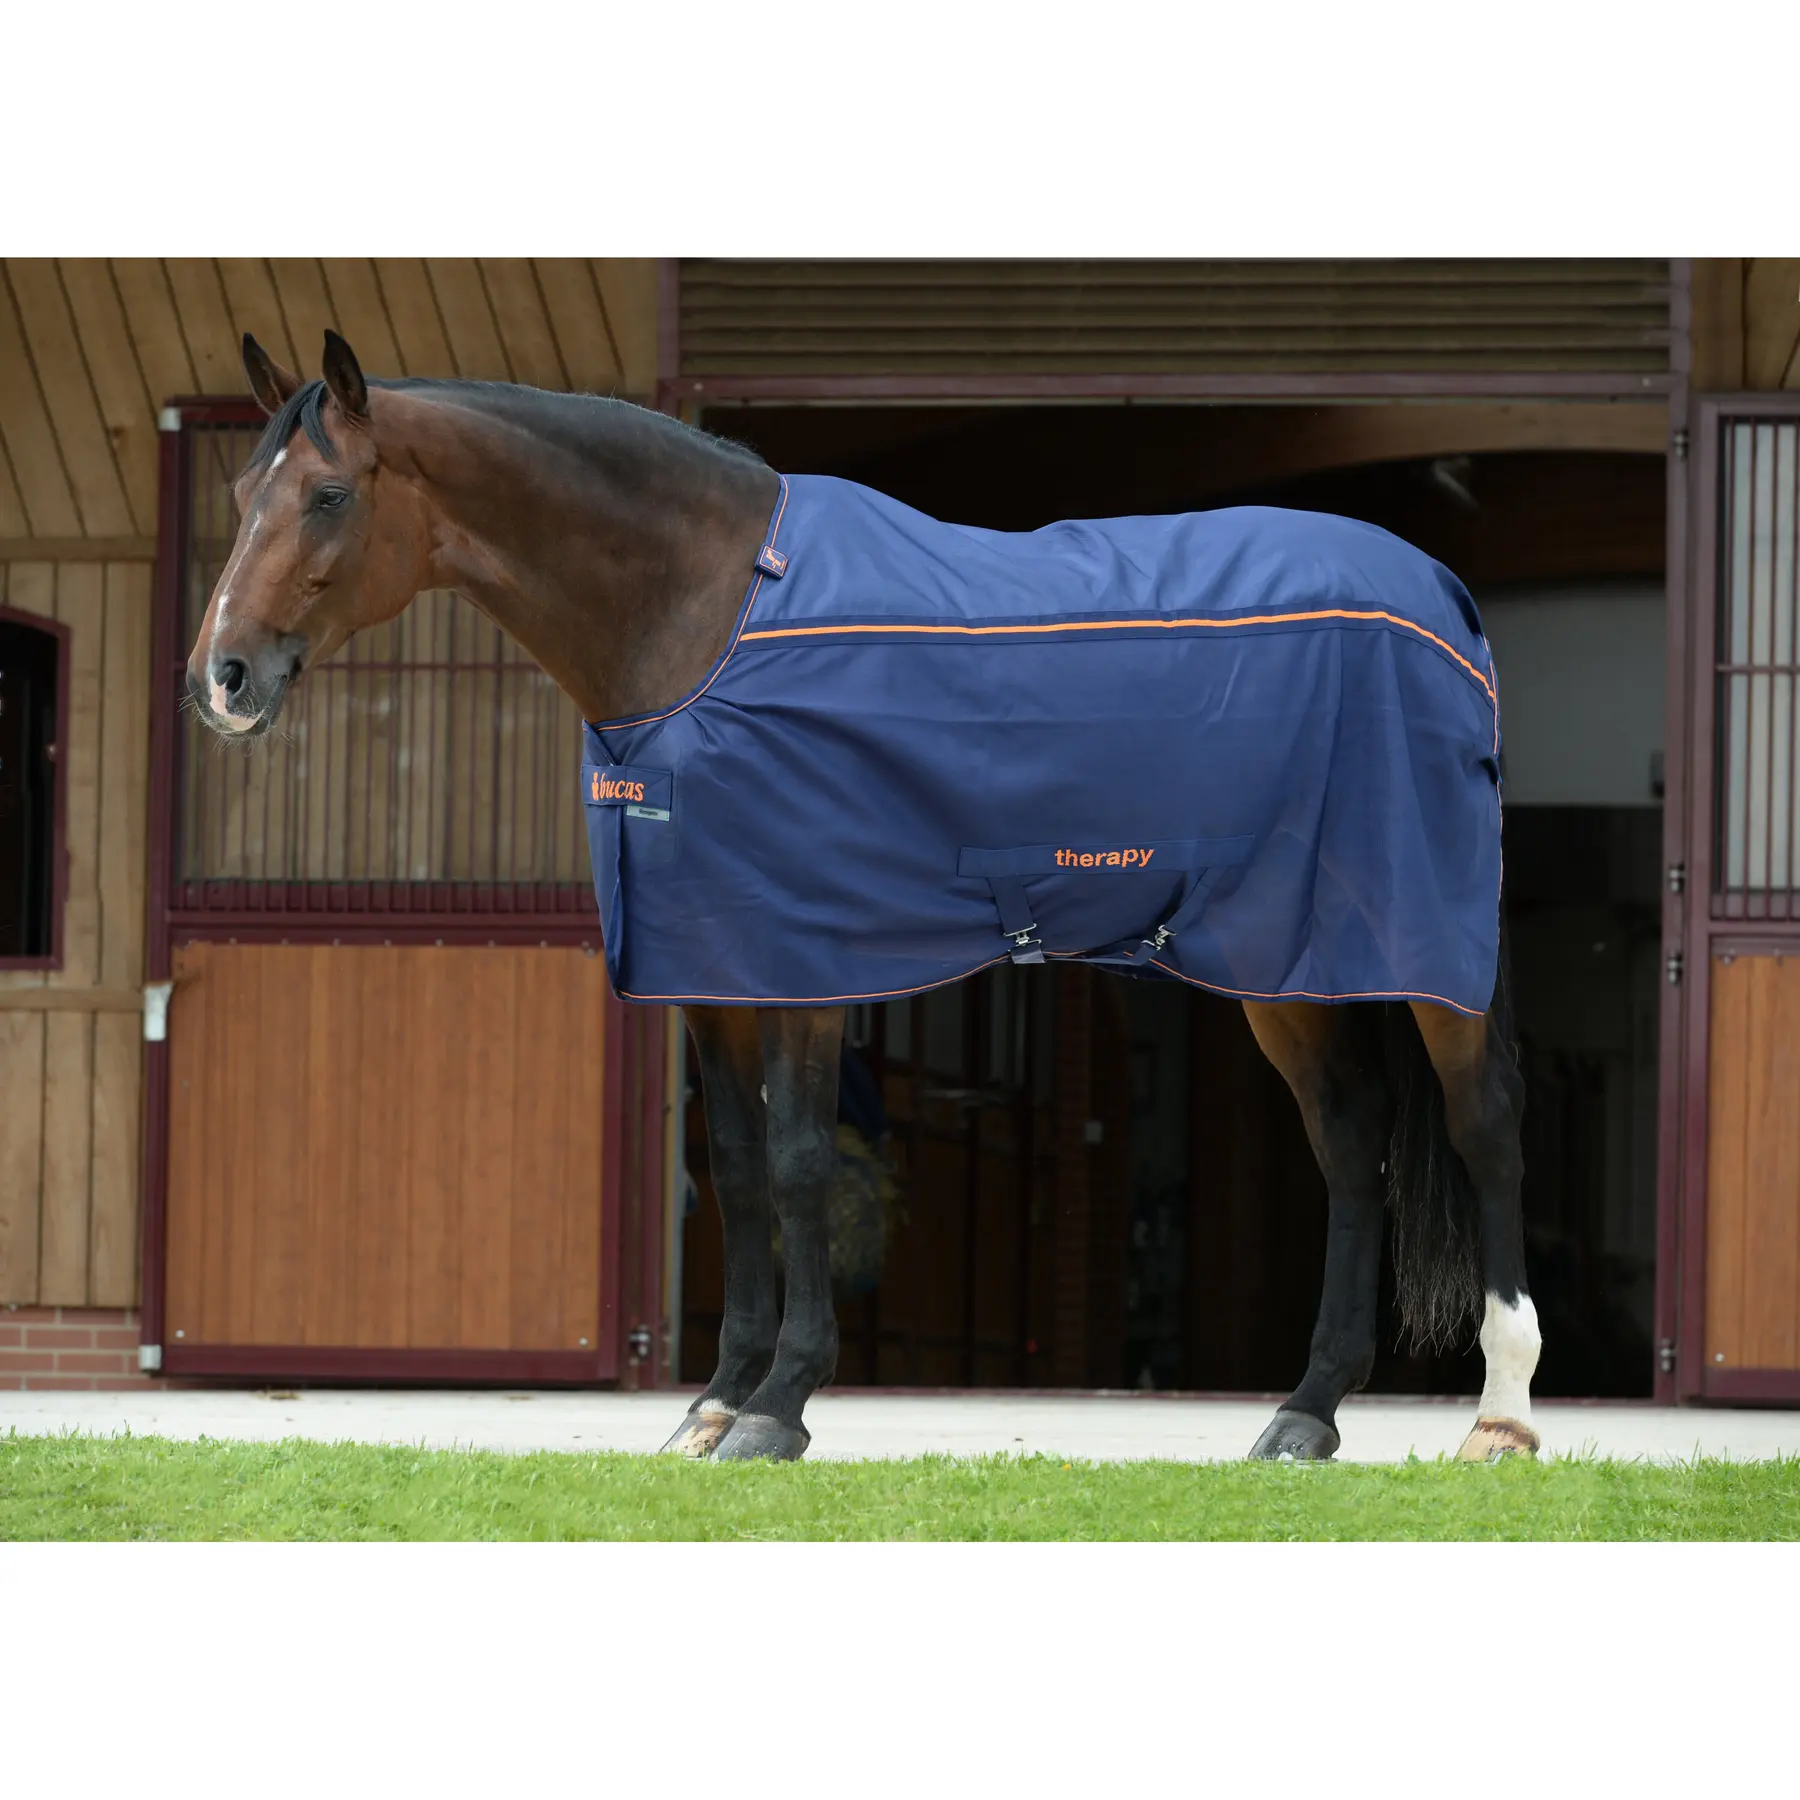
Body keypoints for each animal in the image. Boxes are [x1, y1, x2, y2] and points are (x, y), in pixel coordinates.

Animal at [187, 329, 1540, 1465]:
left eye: (327, 495)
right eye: (240, 498)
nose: (223, 679)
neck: (708, 614)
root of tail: (1442, 597)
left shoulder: (809, 959)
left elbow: (795, 1165)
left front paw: (779, 1407)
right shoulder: (709, 965)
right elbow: (734, 1170)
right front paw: (713, 1402)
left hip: (1418, 954)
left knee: (1482, 1128)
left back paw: (1502, 1416)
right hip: (1286, 960)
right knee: (1354, 1146)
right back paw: (1305, 1416)